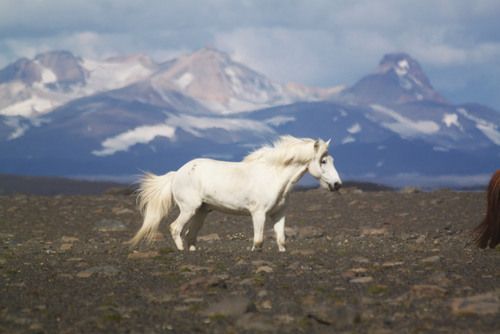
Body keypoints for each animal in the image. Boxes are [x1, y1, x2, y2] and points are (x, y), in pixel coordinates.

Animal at [129, 135, 342, 250]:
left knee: (190, 235)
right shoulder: (258, 214)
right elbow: (258, 241)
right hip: (189, 209)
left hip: (201, 212)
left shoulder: (279, 214)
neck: (273, 176)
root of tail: (177, 173)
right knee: (175, 228)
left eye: (331, 160)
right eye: (323, 161)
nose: (337, 185)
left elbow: (281, 241)